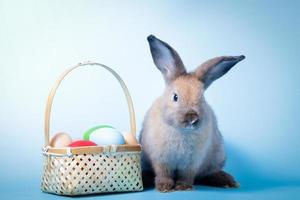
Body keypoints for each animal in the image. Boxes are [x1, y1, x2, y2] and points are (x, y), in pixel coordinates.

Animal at [139, 34, 245, 192]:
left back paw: (227, 181)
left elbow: (187, 175)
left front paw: (184, 187)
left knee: (208, 173)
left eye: (202, 99)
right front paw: (164, 187)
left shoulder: (192, 162)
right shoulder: (160, 159)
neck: (182, 132)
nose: (192, 118)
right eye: (175, 97)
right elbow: (163, 173)